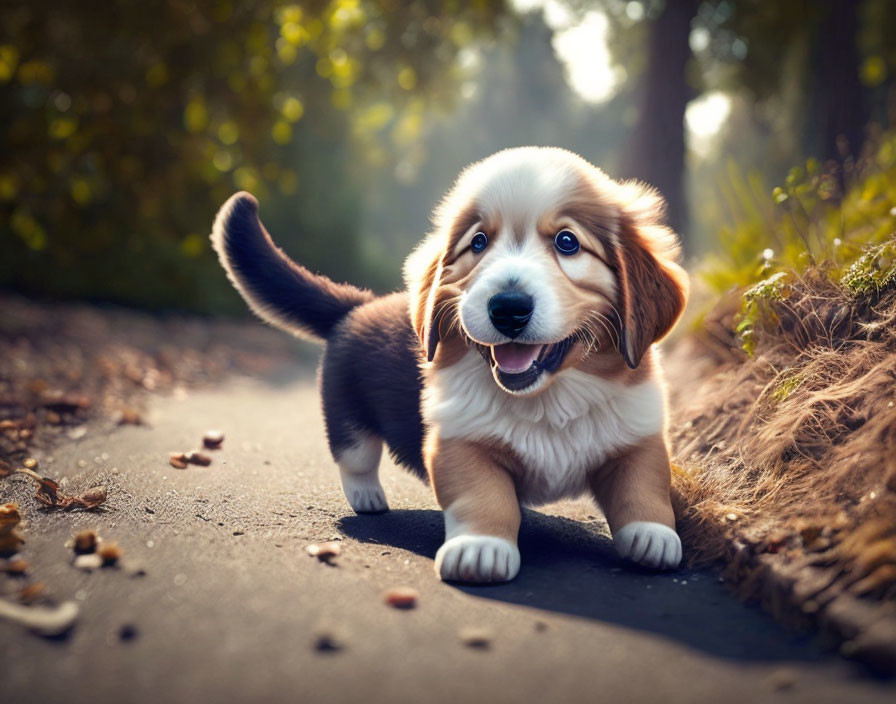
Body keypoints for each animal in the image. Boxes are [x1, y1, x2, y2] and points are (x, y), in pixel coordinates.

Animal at [210, 147, 688, 584]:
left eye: (567, 242)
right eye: (478, 243)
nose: (507, 308)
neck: (548, 397)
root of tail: (358, 306)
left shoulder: (639, 433)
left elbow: (642, 487)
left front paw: (653, 537)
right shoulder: (459, 441)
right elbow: (485, 497)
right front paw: (481, 550)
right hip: (347, 412)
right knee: (354, 455)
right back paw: (367, 496)